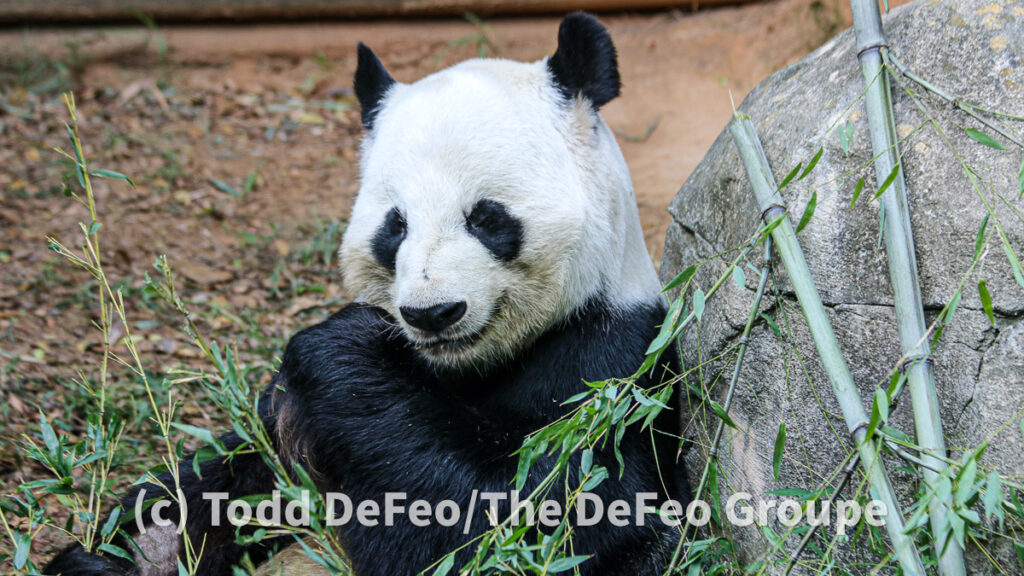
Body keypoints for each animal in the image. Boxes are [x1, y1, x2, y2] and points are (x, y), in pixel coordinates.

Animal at [44, 12, 687, 576]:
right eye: (394, 226)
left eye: (486, 218)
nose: (433, 314)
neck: (470, 366)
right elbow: (228, 476)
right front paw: (132, 550)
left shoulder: (609, 370)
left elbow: (537, 522)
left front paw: (341, 349)